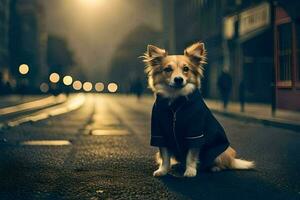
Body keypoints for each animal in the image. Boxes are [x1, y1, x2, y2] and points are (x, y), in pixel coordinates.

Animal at [142, 41, 254, 177]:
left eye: (186, 69)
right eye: (168, 69)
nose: (178, 79)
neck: (176, 102)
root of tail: (232, 159)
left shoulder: (195, 133)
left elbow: (191, 155)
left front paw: (190, 171)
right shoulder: (160, 133)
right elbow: (165, 156)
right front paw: (163, 170)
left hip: (222, 152)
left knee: (222, 164)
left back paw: (214, 168)